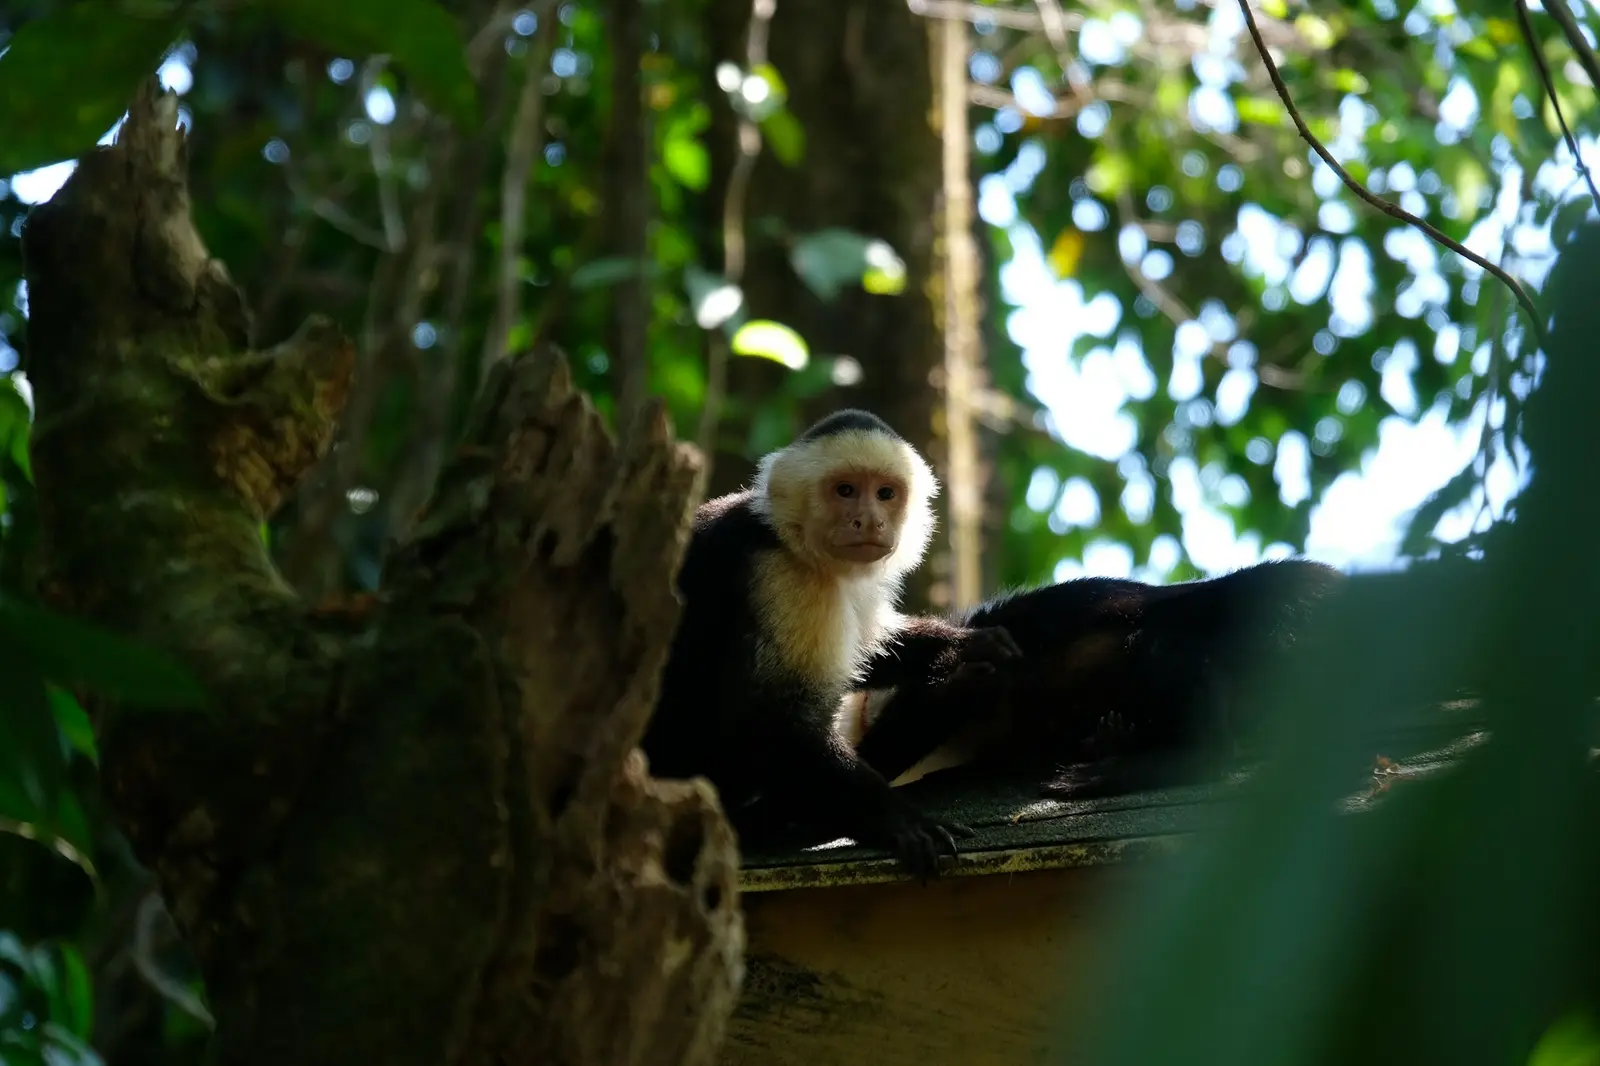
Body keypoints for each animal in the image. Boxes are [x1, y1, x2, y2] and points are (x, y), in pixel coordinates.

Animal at [642, 409, 1023, 879]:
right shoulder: (781, 577)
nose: (870, 521)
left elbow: (871, 646)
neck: (790, 539)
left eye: (885, 494)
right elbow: (777, 719)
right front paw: (900, 820)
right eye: (845, 491)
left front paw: (970, 643)